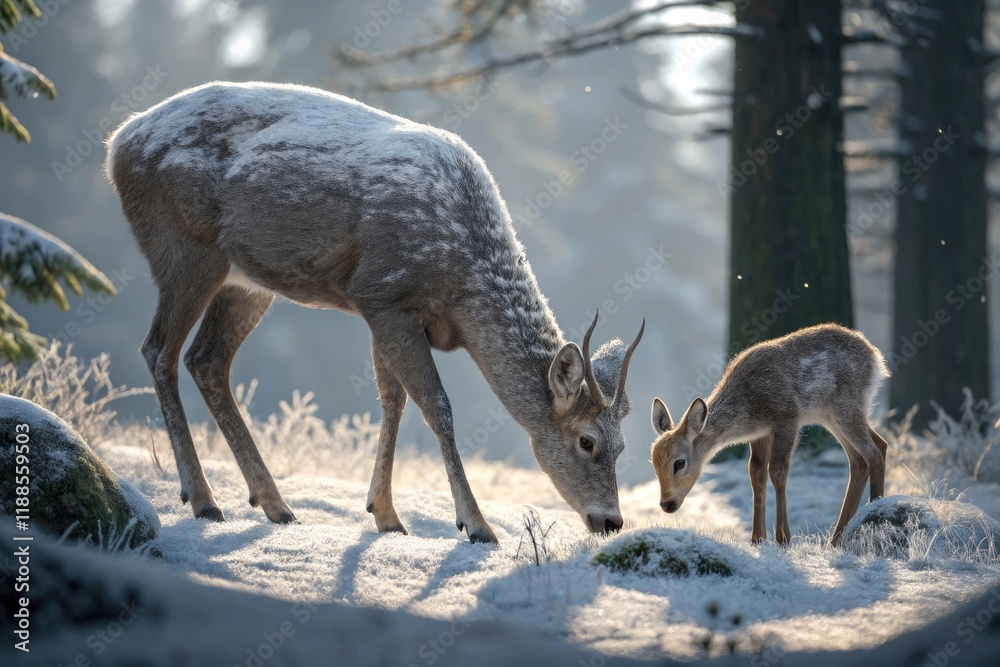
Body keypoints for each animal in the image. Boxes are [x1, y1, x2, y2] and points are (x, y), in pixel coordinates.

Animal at [105, 81, 644, 544]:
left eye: (622, 446)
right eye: (587, 442)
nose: (611, 521)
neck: (460, 282)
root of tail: (117, 144)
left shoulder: (385, 311)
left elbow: (393, 400)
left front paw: (385, 514)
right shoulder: (383, 293)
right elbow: (435, 405)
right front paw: (476, 524)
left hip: (247, 280)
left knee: (206, 359)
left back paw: (274, 503)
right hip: (185, 248)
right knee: (158, 349)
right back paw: (203, 498)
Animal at [649, 324, 890, 546]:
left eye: (679, 463)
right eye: (653, 463)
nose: (666, 504)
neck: (747, 409)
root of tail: (875, 357)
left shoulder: (787, 417)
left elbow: (778, 469)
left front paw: (783, 538)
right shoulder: (759, 433)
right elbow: (756, 473)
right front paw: (757, 538)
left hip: (846, 405)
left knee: (873, 453)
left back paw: (874, 513)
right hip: (832, 414)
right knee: (868, 453)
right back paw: (837, 538)